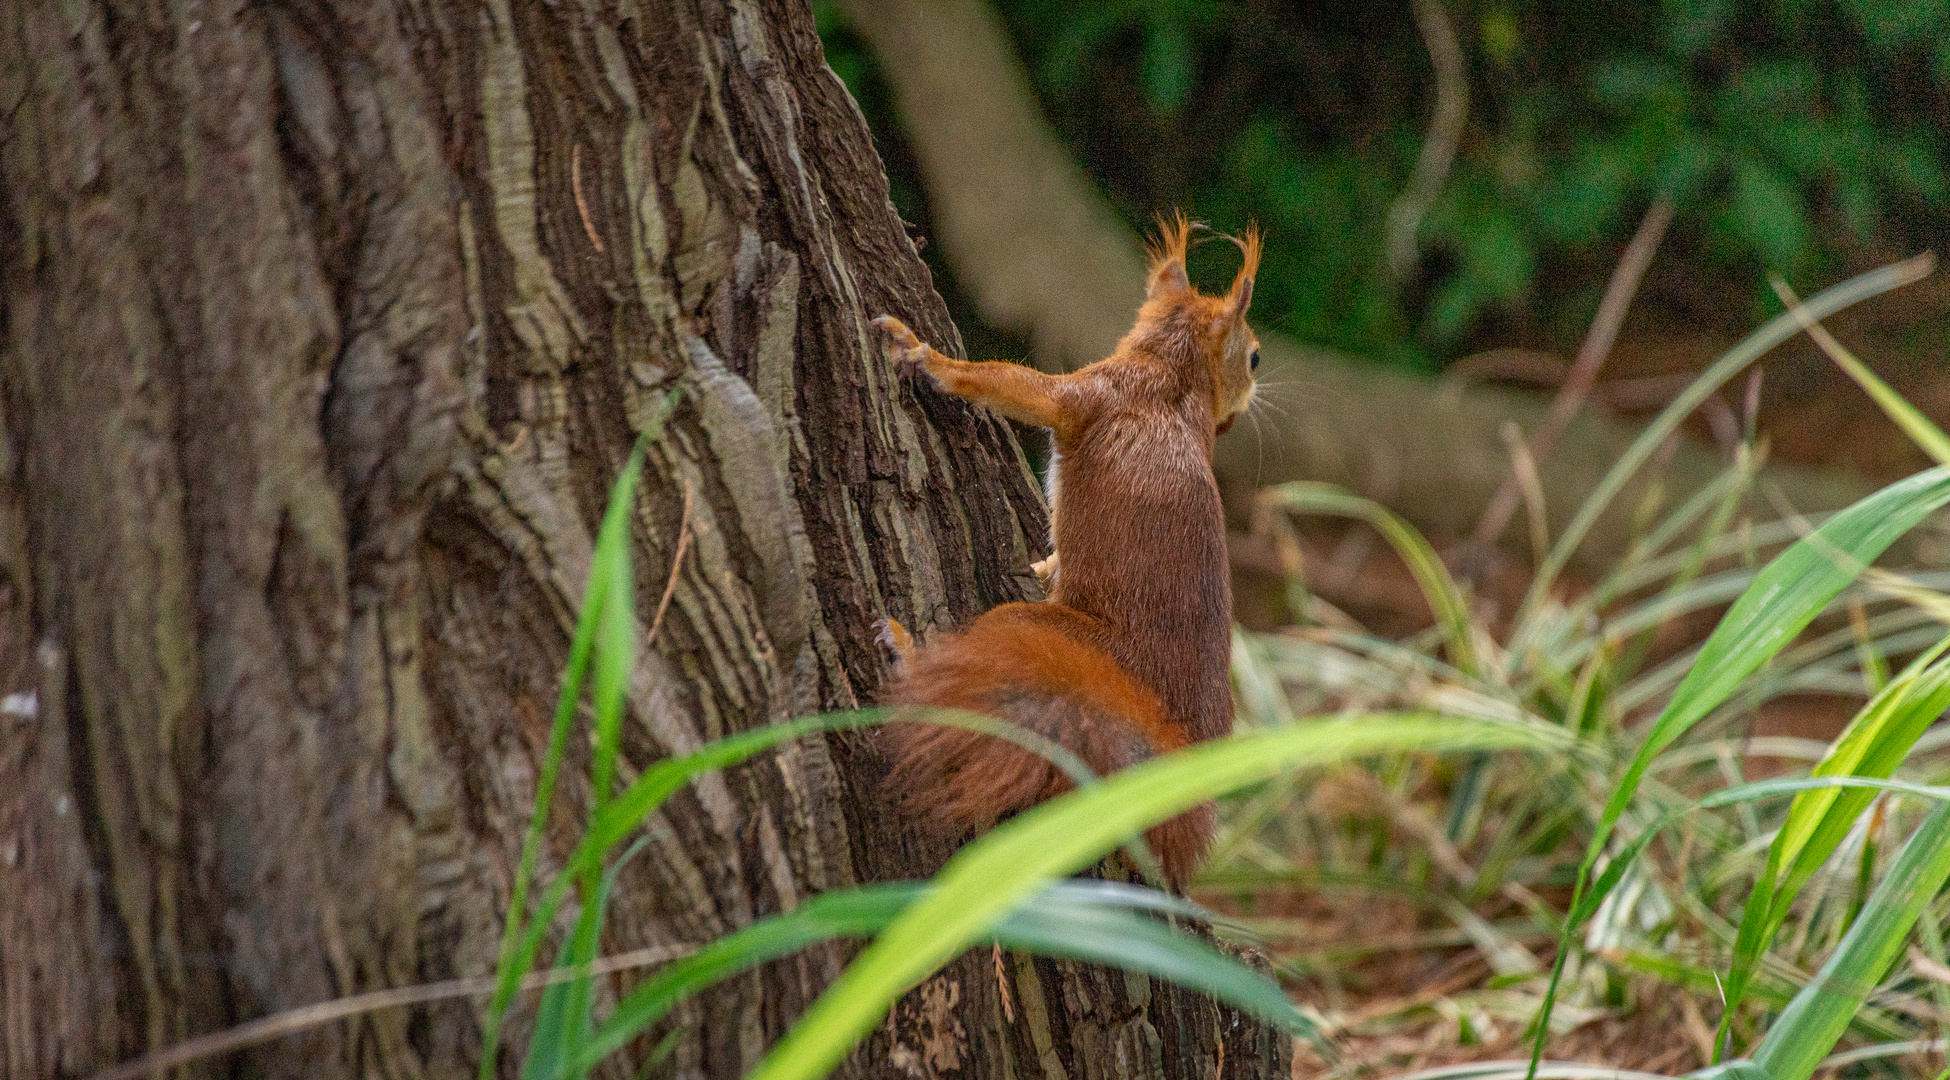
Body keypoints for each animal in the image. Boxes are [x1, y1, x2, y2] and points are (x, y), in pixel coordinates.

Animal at [873, 214, 1263, 885]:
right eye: (1255, 355)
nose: (1257, 386)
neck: (1174, 381)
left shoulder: (1091, 394)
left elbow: (1016, 386)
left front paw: (928, 356)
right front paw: (1045, 561)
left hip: (1043, 636)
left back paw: (906, 649)